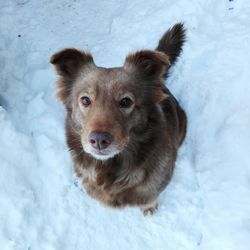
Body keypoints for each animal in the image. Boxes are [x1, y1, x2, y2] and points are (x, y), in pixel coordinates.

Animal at [50, 22, 186, 216]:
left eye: (125, 101)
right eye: (85, 100)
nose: (98, 140)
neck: (110, 170)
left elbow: (149, 199)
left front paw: (149, 208)